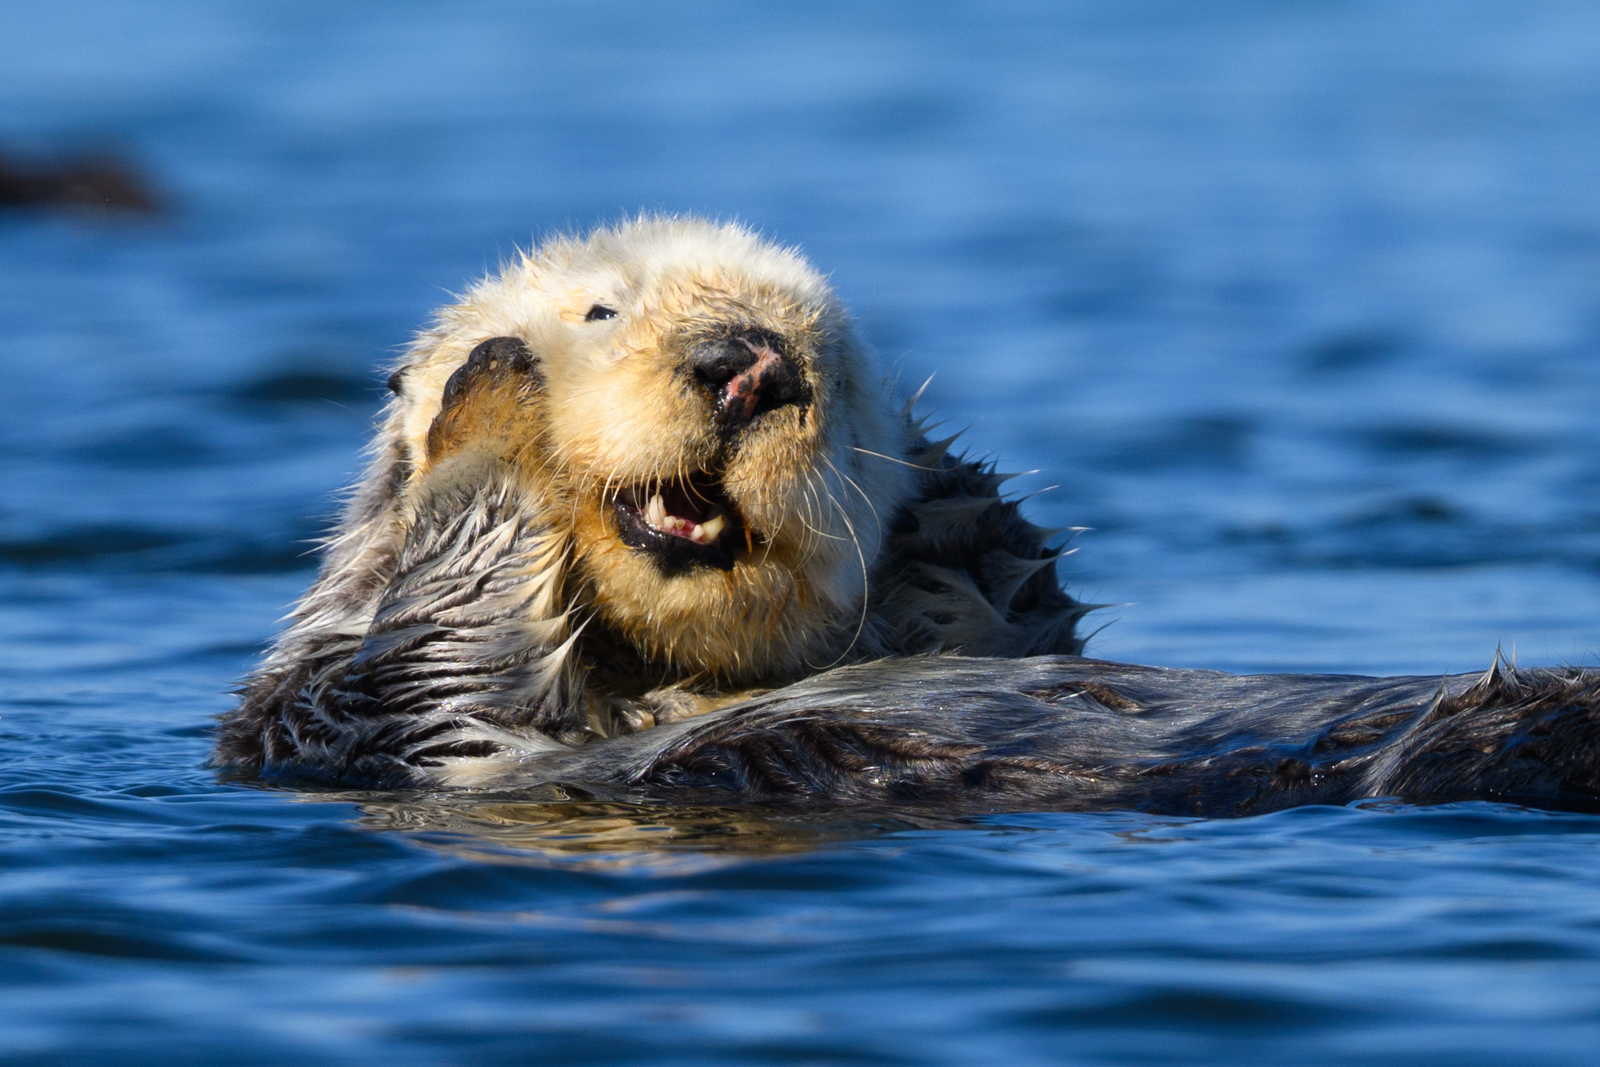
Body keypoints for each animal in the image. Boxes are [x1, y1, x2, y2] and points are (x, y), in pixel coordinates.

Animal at [214, 217, 1600, 813]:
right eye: (602, 309)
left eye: (834, 368)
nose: (748, 362)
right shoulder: (328, 719)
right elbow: (415, 654)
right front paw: (488, 400)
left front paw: (961, 534)